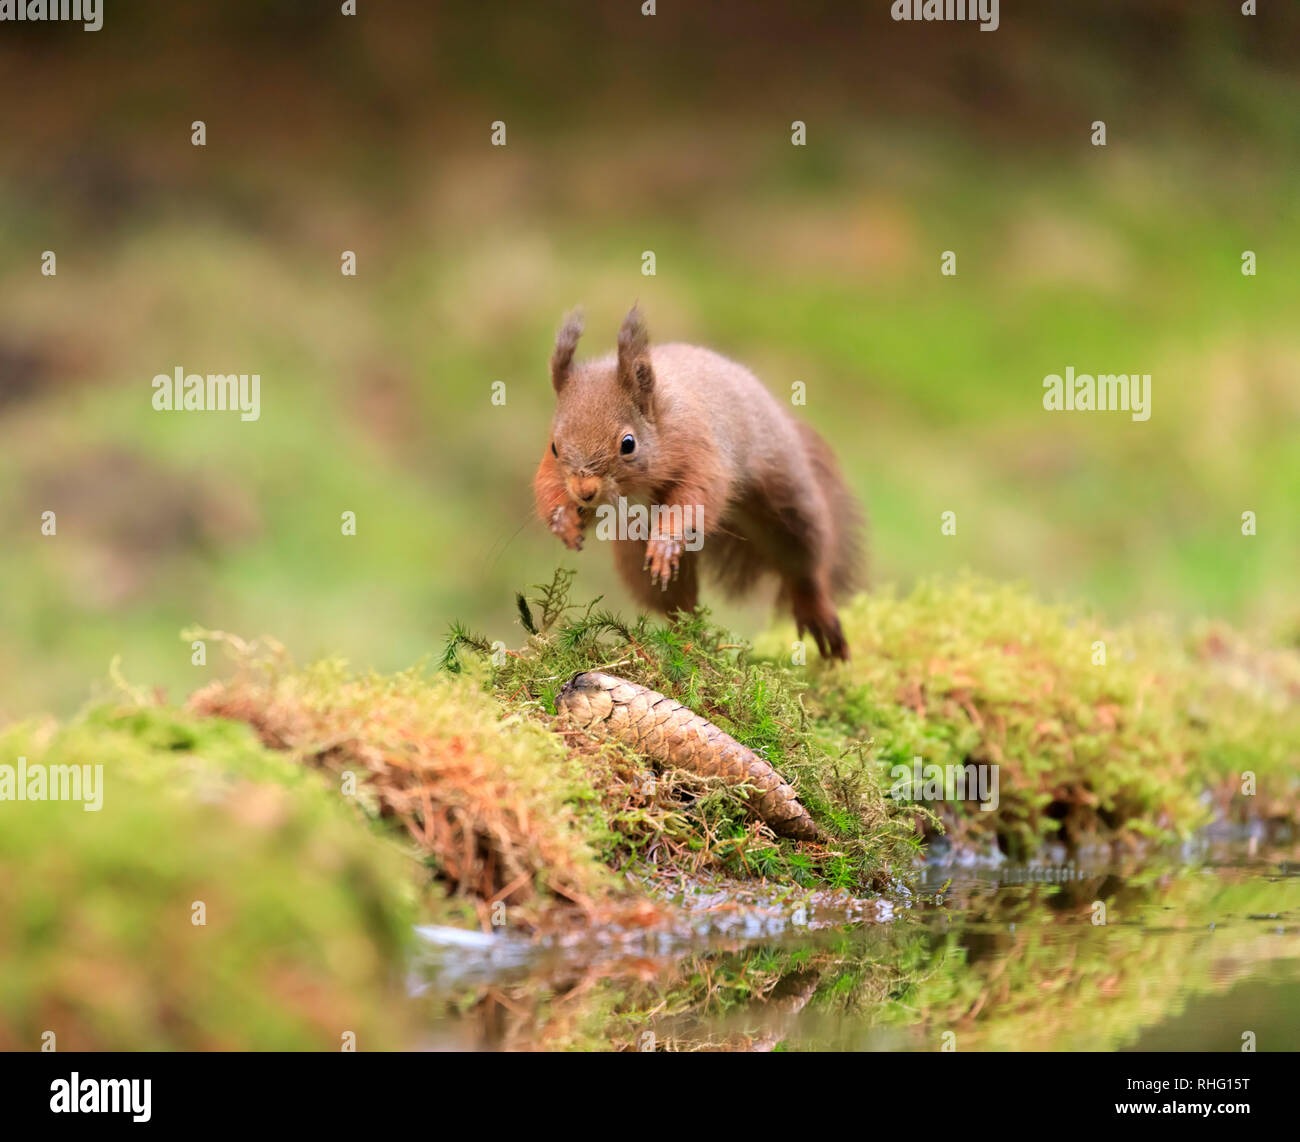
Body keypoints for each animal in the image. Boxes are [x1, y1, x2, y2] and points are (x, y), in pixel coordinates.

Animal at [532, 306, 864, 660]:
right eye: (554, 447)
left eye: (628, 443)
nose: (585, 492)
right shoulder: (553, 471)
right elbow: (546, 486)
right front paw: (564, 521)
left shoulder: (699, 447)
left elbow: (696, 495)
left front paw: (666, 541)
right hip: (635, 551)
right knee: (675, 602)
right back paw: (688, 641)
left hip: (788, 501)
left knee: (804, 563)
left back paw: (816, 614)